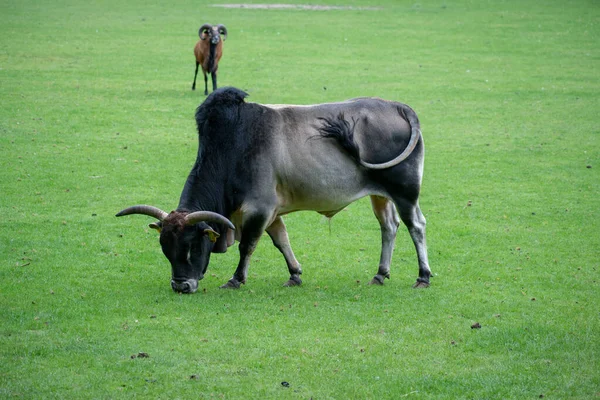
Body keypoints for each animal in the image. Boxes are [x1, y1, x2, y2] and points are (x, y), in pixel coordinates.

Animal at [115, 86, 428, 294]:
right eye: (165, 248)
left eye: (192, 246)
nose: (181, 286)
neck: (232, 147)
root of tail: (398, 106)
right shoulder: (272, 212)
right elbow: (281, 241)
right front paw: (295, 274)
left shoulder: (259, 208)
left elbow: (247, 245)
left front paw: (236, 279)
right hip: (380, 195)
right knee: (389, 226)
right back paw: (380, 274)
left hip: (404, 192)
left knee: (416, 226)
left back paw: (423, 276)